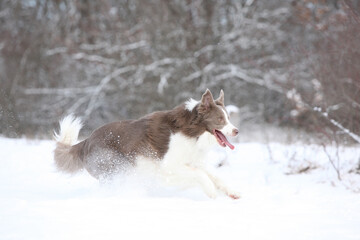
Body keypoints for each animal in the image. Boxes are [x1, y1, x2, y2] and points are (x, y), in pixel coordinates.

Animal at [53, 89, 239, 199]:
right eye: (220, 119)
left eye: (229, 118)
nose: (236, 131)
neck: (193, 132)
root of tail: (86, 141)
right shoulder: (167, 166)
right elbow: (201, 175)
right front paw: (211, 191)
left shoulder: (192, 161)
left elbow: (214, 175)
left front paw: (232, 192)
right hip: (114, 166)